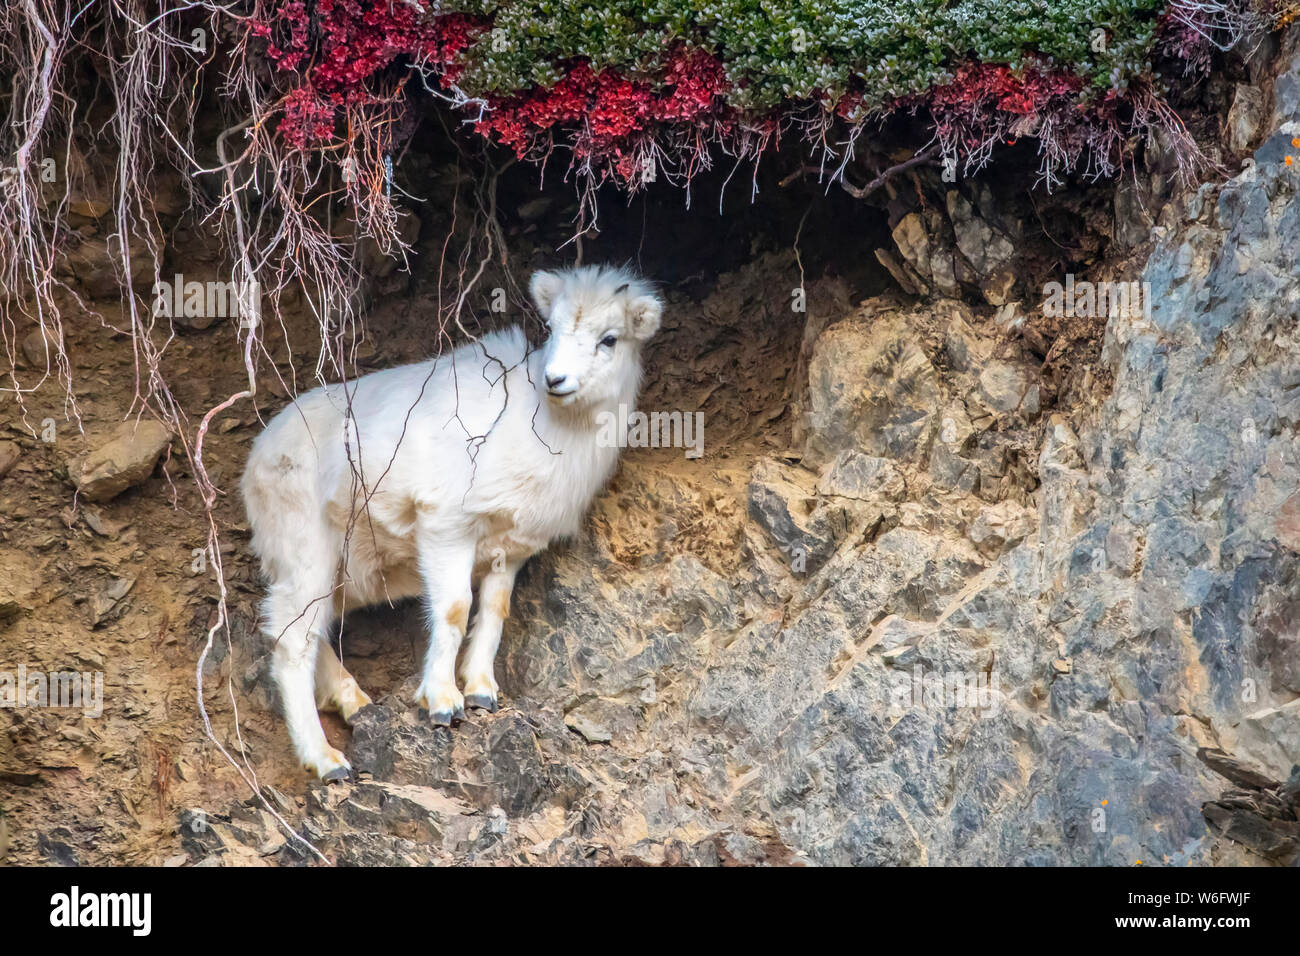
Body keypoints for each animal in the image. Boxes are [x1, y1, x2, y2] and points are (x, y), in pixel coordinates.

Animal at [241, 264, 663, 779]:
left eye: (610, 339)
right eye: (553, 327)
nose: (556, 379)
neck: (538, 432)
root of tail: (257, 457)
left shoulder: (510, 550)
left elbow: (495, 612)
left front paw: (482, 691)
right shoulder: (446, 528)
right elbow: (455, 609)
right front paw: (443, 703)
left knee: (314, 628)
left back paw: (355, 703)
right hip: (306, 550)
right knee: (292, 641)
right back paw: (327, 761)